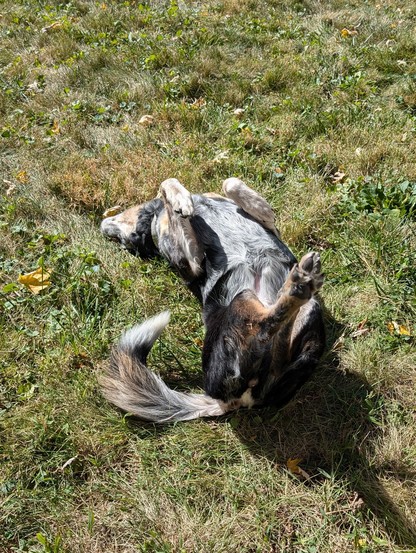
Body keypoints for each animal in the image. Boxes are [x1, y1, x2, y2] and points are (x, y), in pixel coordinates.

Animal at [100, 179, 324, 420]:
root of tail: (228, 401)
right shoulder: (192, 263)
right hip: (244, 300)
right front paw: (181, 201)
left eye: (123, 241)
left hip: (309, 312)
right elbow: (169, 184)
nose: (102, 227)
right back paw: (297, 286)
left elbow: (230, 184)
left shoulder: (269, 227)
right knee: (266, 325)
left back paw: (300, 281)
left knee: (279, 351)